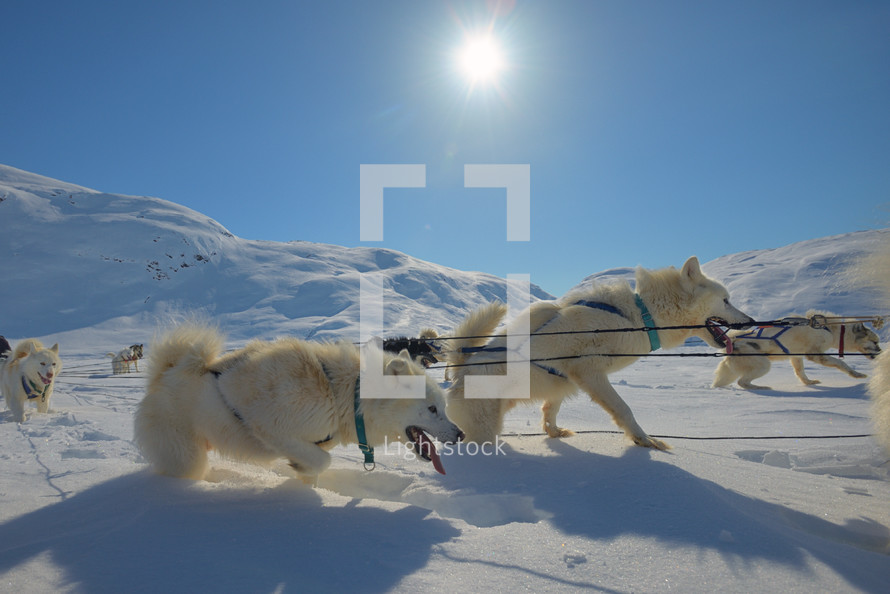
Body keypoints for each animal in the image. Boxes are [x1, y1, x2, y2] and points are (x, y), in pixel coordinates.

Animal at [135, 324, 464, 480]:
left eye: (444, 408)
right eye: (432, 409)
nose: (461, 434)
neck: (346, 395)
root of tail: (165, 373)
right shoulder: (274, 430)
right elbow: (322, 461)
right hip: (186, 458)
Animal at [444, 256, 748, 448]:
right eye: (726, 300)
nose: (750, 321)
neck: (639, 316)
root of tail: (460, 370)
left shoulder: (566, 379)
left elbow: (550, 410)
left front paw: (554, 432)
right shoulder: (589, 371)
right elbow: (623, 409)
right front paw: (644, 440)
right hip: (483, 430)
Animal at [712, 310, 876, 388]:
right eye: (875, 341)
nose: (880, 352)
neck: (831, 329)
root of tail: (733, 343)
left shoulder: (797, 356)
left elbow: (801, 372)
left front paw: (809, 382)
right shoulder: (815, 354)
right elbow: (842, 363)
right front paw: (857, 374)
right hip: (763, 365)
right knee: (742, 382)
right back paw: (762, 387)